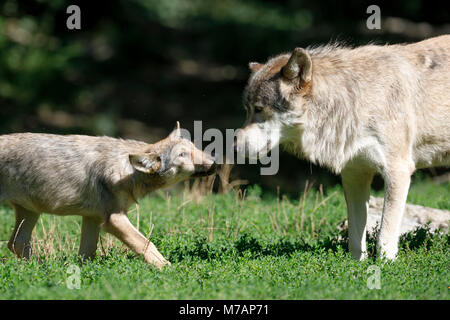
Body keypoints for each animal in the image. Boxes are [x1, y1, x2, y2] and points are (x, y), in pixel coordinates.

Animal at [236, 35, 450, 260]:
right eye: (247, 110)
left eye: (259, 109)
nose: (233, 148)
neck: (352, 101)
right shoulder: (354, 175)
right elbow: (355, 239)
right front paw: (357, 264)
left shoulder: (397, 171)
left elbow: (384, 236)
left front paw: (385, 265)